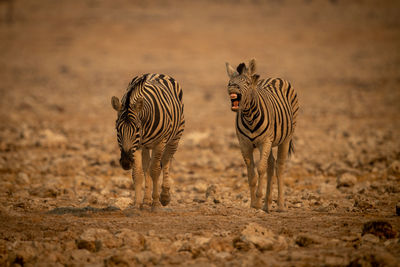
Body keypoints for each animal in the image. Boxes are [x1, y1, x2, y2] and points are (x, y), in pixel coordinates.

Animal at [110, 73, 184, 211]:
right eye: (117, 129)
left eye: (137, 128)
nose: (126, 162)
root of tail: (158, 73)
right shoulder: (137, 146)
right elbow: (138, 174)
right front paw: (138, 204)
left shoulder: (160, 143)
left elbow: (155, 170)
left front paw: (156, 203)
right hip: (145, 147)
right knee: (146, 167)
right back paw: (146, 201)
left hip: (175, 138)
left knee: (166, 161)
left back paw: (164, 196)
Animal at [225, 59, 296, 214]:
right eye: (230, 82)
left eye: (246, 82)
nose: (232, 89)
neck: (249, 117)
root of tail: (276, 77)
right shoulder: (244, 144)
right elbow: (251, 173)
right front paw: (254, 203)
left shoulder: (265, 141)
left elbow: (260, 169)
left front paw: (258, 200)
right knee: (271, 163)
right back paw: (267, 205)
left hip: (285, 138)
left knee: (279, 166)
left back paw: (280, 205)